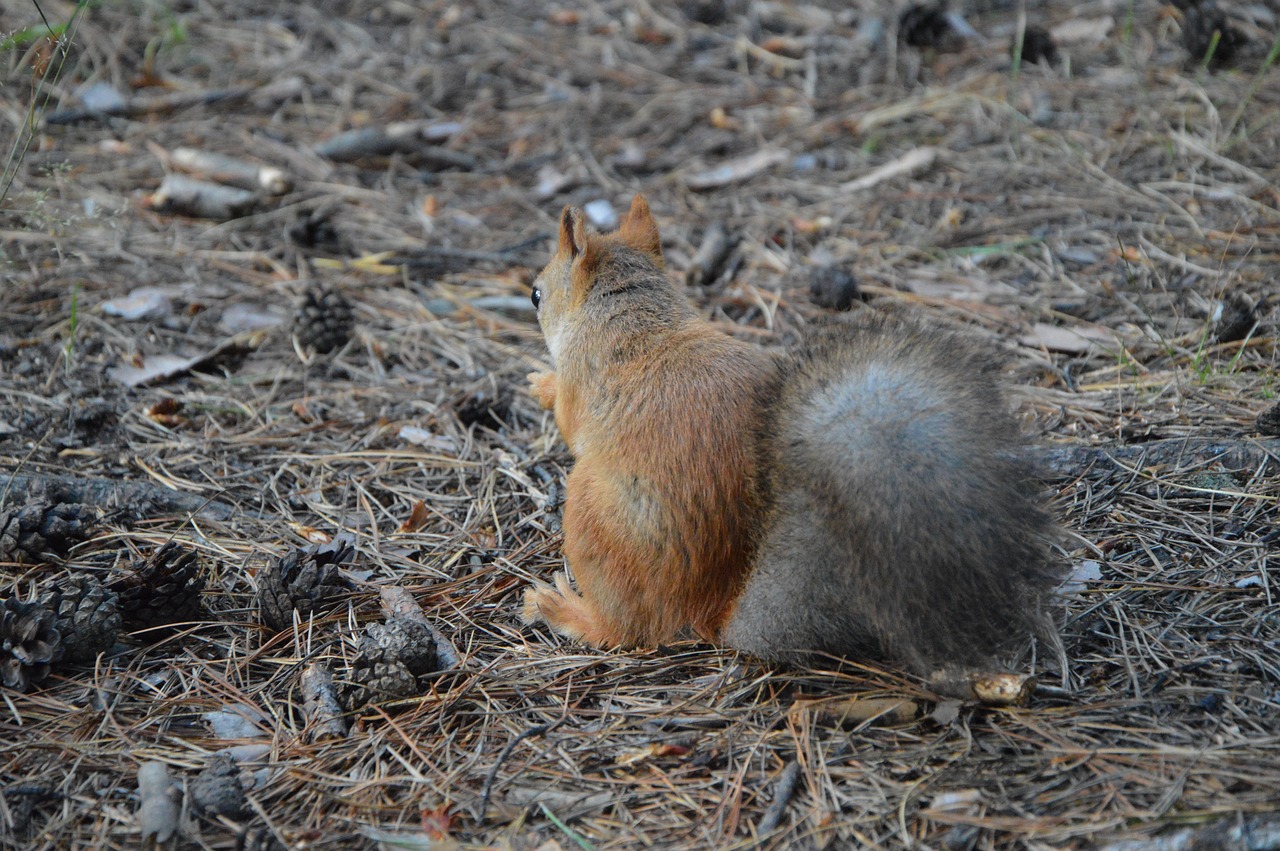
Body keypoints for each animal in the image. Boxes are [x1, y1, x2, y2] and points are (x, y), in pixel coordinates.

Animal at [519, 194, 1059, 675]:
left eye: (536, 294)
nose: (531, 294)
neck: (633, 311)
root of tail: (716, 608)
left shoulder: (580, 381)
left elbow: (568, 421)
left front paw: (543, 385)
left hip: (589, 513)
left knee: (629, 630)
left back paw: (564, 607)